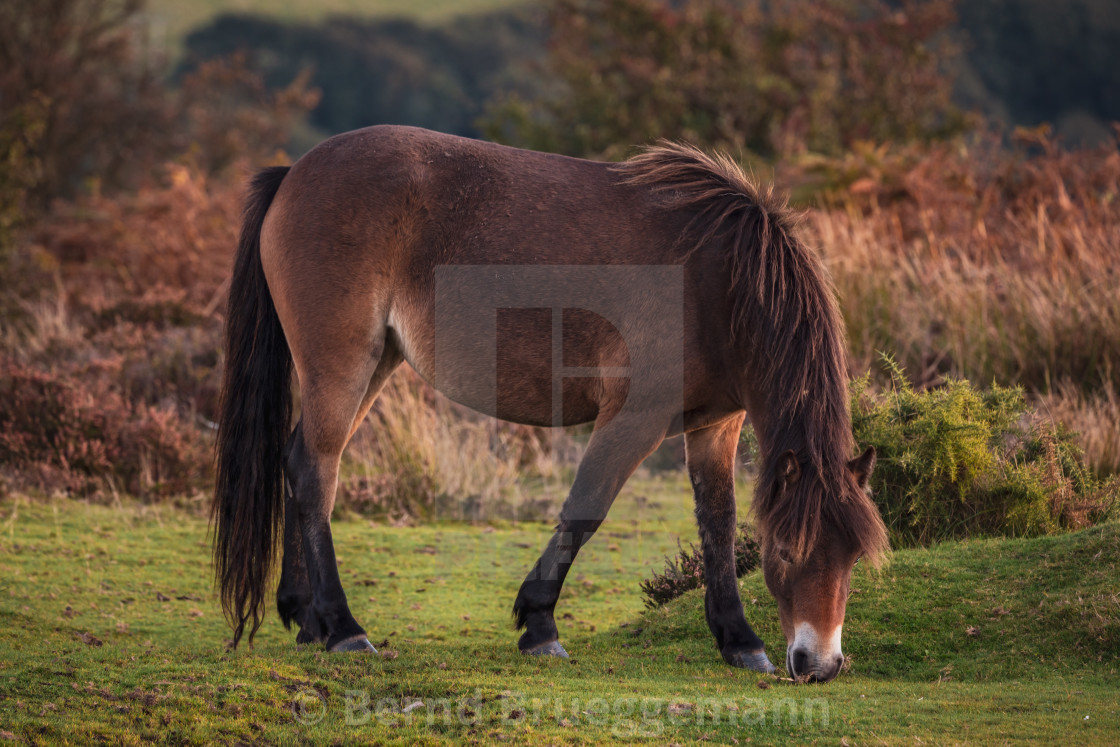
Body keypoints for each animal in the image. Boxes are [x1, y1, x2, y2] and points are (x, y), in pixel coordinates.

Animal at [213, 127, 887, 685]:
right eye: (789, 551)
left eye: (852, 557)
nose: (819, 665)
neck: (717, 281)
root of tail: (294, 173)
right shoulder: (633, 419)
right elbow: (584, 512)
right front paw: (539, 627)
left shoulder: (716, 426)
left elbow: (716, 524)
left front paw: (739, 641)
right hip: (343, 364)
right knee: (314, 471)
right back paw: (344, 629)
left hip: (375, 363)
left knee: (299, 464)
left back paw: (307, 621)